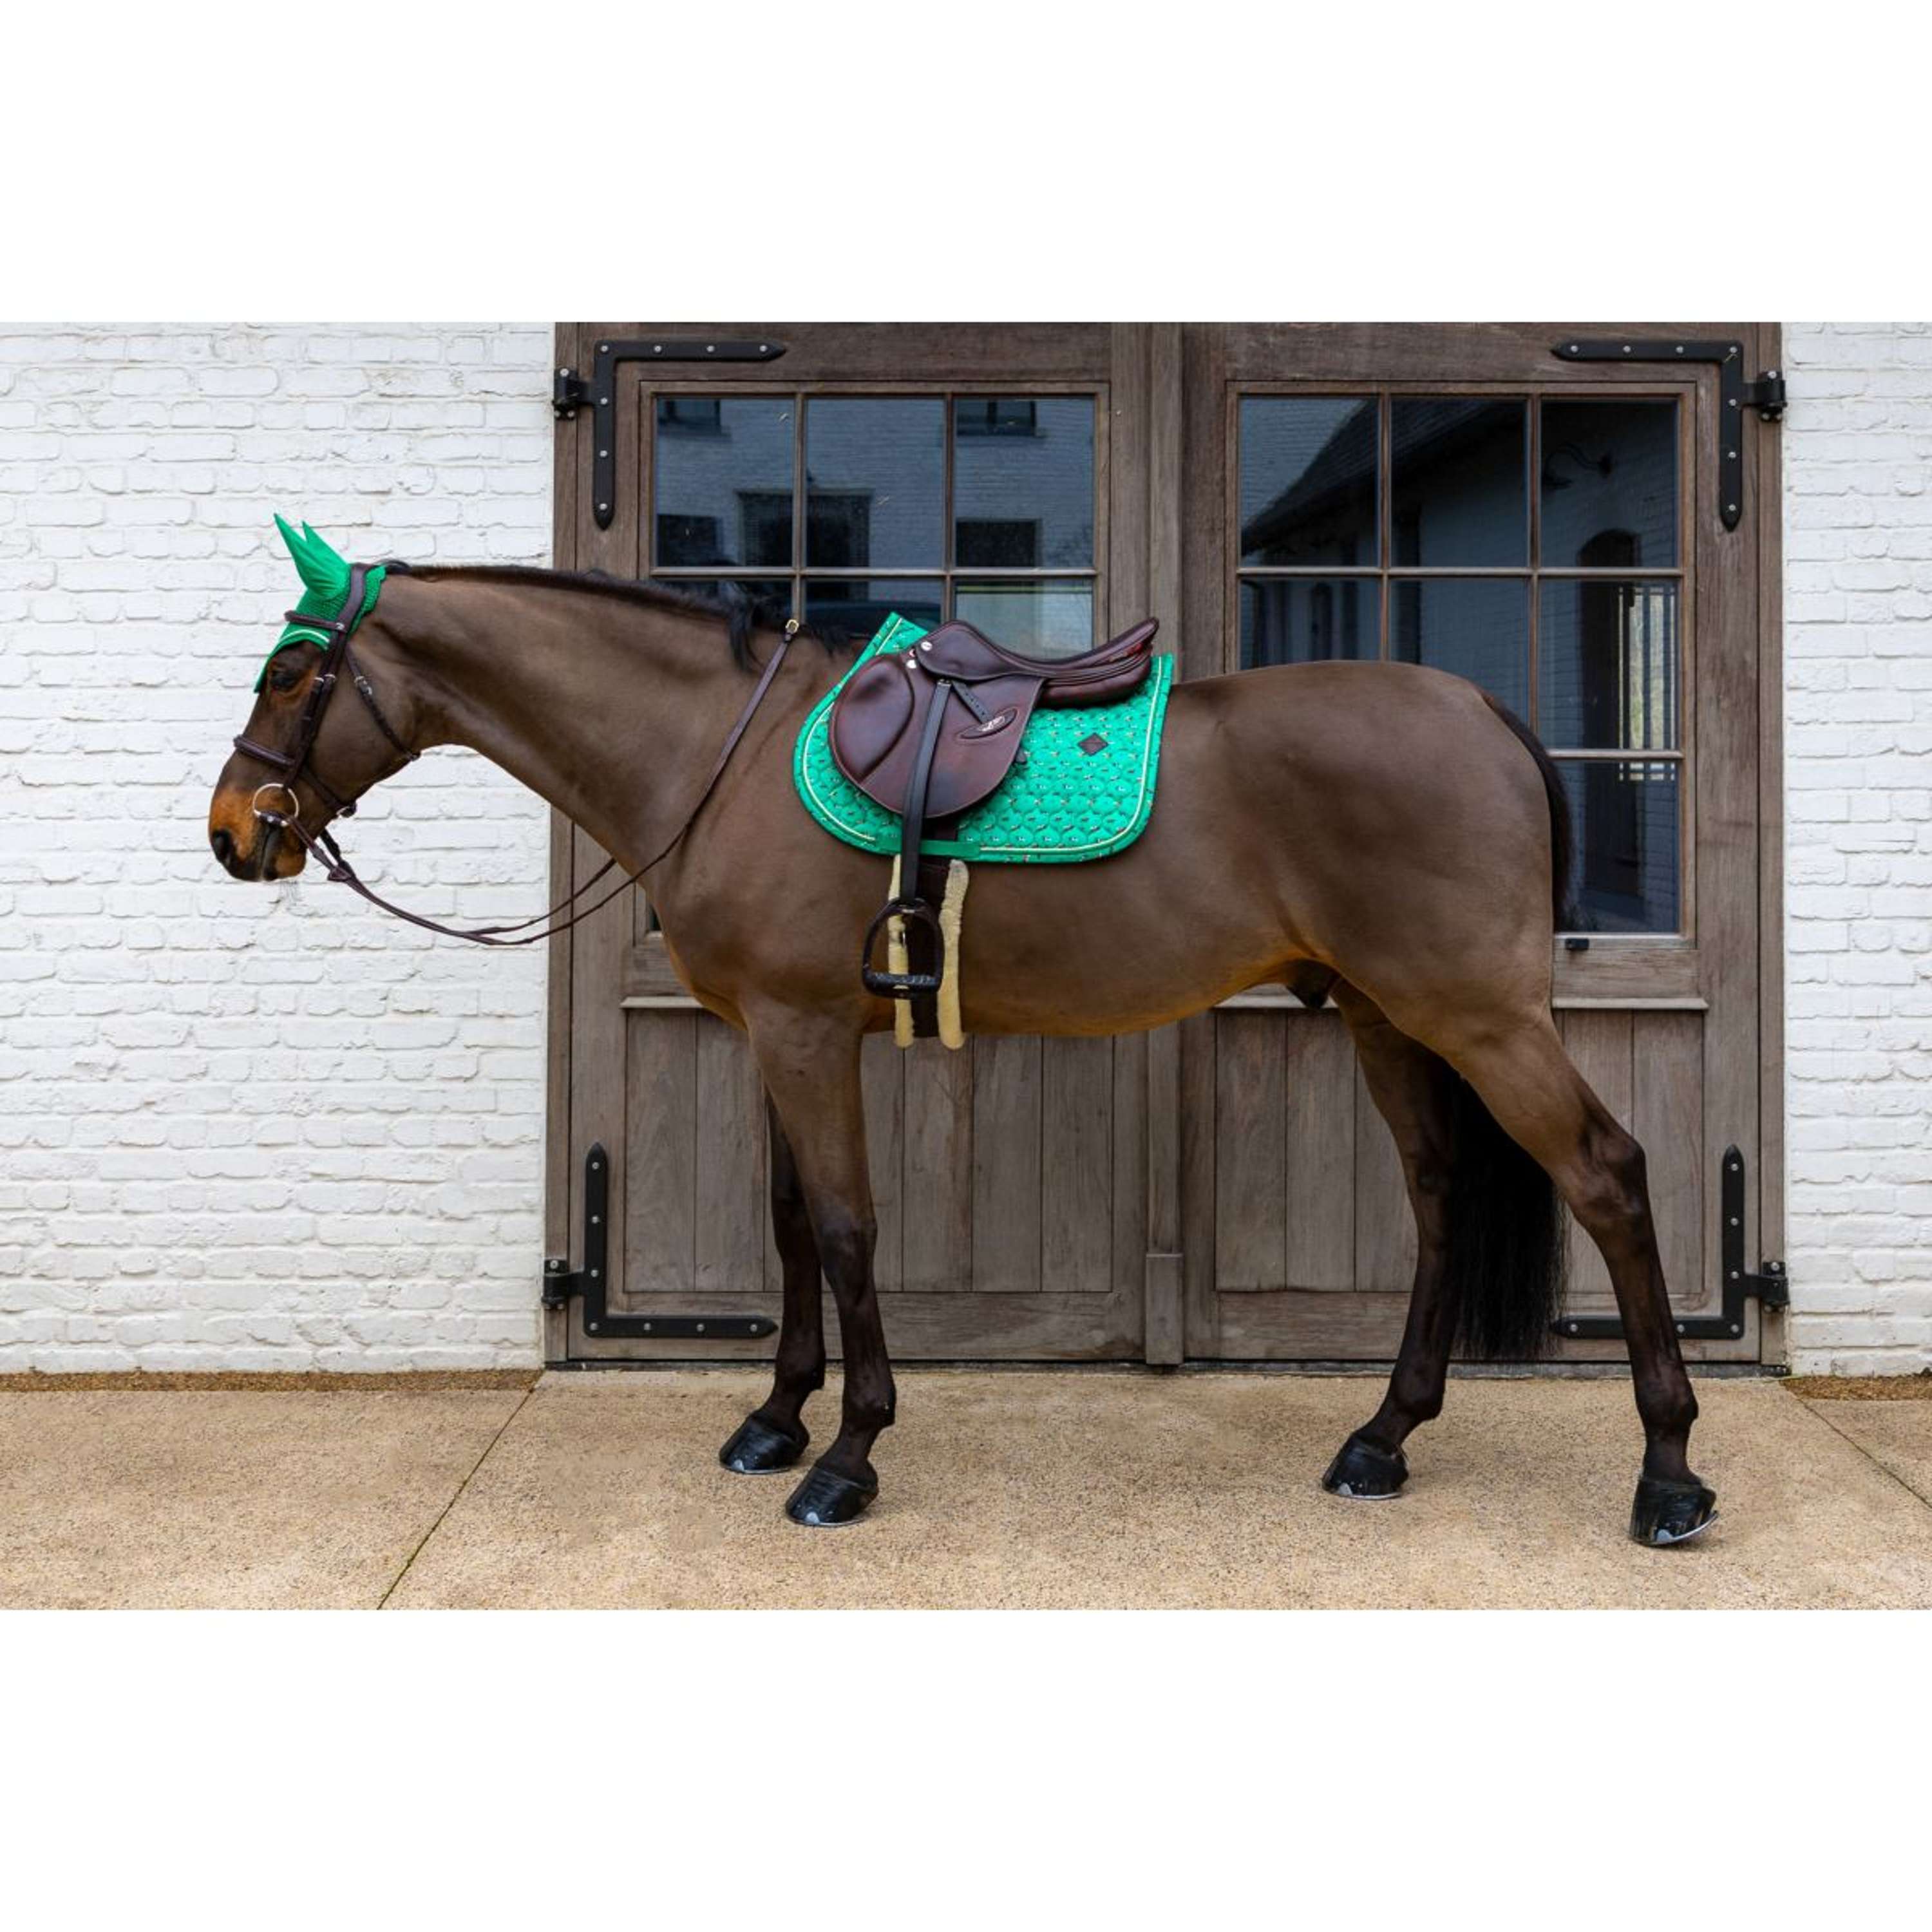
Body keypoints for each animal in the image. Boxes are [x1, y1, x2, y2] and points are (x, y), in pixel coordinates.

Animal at [208, 527, 1717, 1547]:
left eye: (291, 673)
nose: (233, 832)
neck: (715, 753)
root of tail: (1483, 712)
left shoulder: (806, 1035)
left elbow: (846, 1227)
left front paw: (847, 1458)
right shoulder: (772, 1034)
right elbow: (787, 1225)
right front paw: (775, 1421)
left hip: (1478, 1017)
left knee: (1607, 1175)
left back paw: (1671, 1477)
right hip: (1384, 1017)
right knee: (1441, 1193)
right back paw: (1385, 1439)